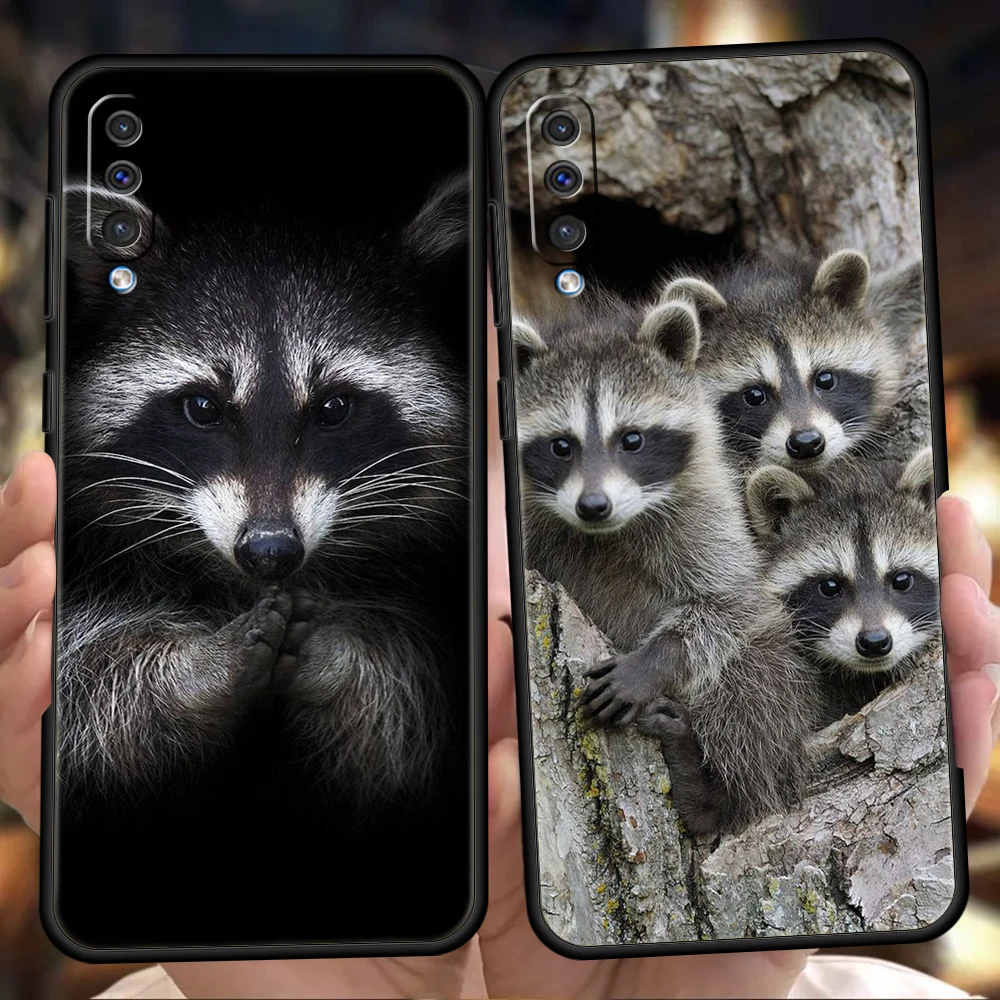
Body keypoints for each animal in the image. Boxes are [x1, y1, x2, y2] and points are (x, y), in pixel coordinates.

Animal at [58, 175, 469, 815]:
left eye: (334, 407)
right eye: (203, 407)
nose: (270, 550)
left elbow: (405, 717)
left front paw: (337, 664)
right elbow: (84, 689)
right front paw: (192, 675)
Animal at [514, 290, 819, 834]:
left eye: (631, 439)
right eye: (561, 445)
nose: (593, 505)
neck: (608, 530)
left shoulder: (706, 512)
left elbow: (729, 603)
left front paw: (650, 663)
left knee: (750, 688)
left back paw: (711, 795)